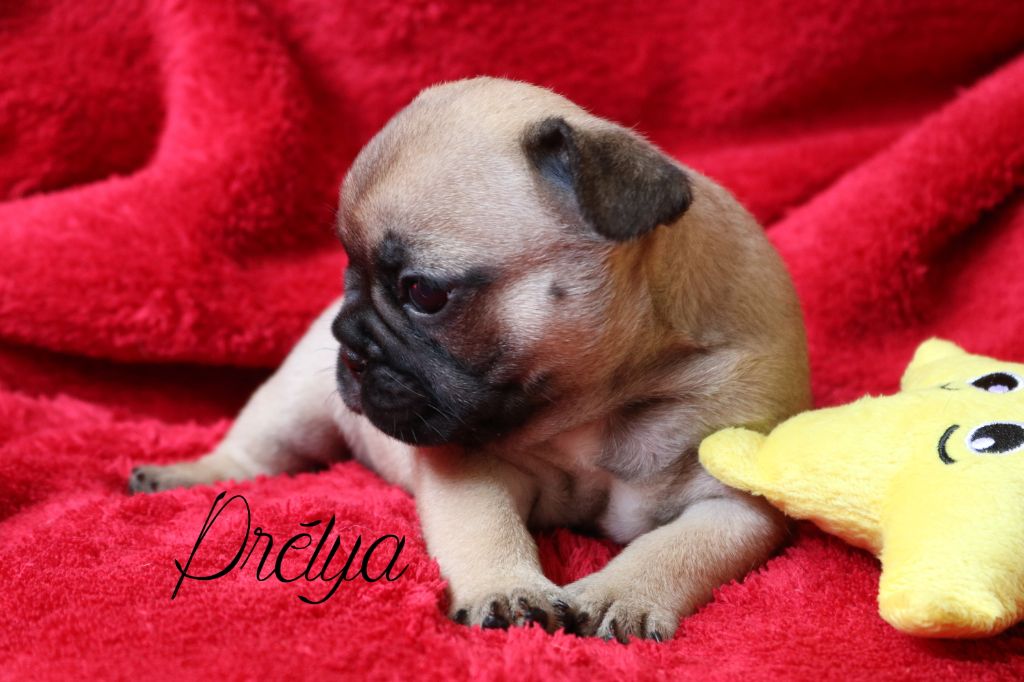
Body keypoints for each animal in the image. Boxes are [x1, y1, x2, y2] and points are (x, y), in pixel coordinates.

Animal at [129, 77, 811, 642]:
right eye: (348, 270)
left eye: (424, 293)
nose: (347, 337)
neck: (599, 401)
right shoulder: (468, 464)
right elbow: (487, 528)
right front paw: (508, 590)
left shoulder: (733, 504)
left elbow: (675, 549)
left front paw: (623, 594)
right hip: (293, 404)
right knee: (255, 451)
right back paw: (186, 474)